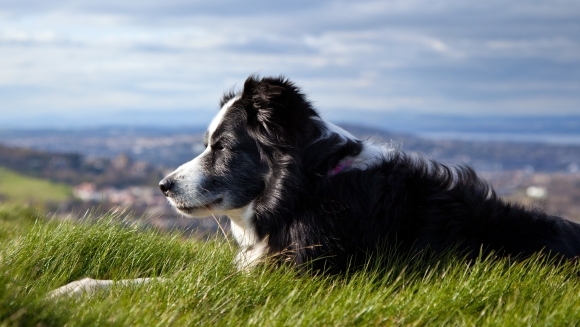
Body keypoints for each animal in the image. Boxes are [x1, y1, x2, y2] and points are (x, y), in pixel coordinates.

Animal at [51, 76, 580, 298]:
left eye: (222, 146)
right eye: (207, 143)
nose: (162, 185)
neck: (308, 190)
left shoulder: (289, 275)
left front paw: (73, 291)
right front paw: (75, 285)